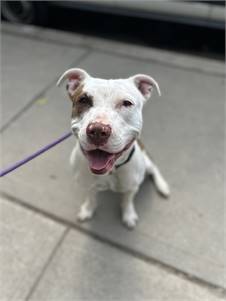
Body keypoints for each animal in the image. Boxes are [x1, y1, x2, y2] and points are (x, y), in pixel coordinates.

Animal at [57, 68, 170, 227]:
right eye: (83, 100)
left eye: (127, 103)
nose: (98, 130)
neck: (110, 171)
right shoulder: (88, 185)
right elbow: (91, 198)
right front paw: (87, 210)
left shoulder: (132, 187)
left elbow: (127, 201)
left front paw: (128, 215)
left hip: (146, 162)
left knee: (154, 168)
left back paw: (163, 186)